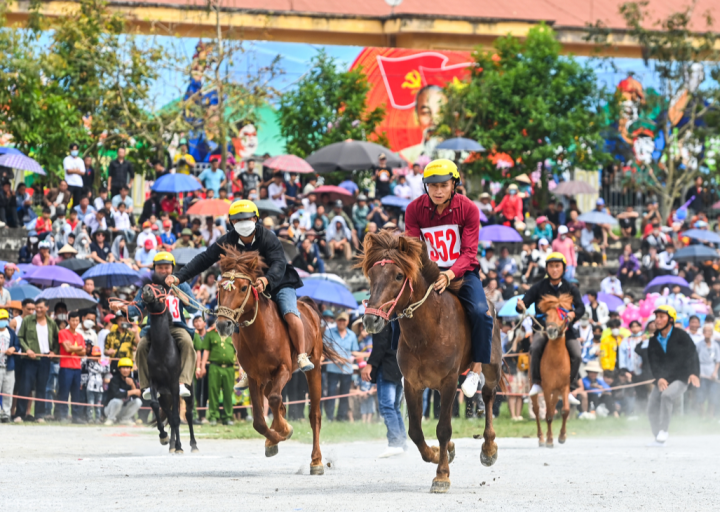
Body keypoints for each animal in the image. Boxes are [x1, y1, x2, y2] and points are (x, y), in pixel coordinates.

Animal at [141, 274, 197, 454]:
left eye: (159, 288)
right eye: (146, 286)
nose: (146, 290)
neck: (162, 350)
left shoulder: (173, 384)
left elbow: (177, 418)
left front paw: (180, 446)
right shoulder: (154, 383)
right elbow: (155, 405)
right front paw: (164, 437)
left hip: (188, 389)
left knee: (188, 414)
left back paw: (192, 445)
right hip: (165, 395)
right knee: (170, 413)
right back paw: (172, 444)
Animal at [214, 246, 344, 474]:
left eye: (243, 288)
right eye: (221, 288)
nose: (223, 324)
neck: (261, 333)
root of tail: (308, 307)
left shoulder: (283, 369)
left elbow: (275, 400)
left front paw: (284, 430)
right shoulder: (255, 377)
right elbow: (259, 420)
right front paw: (274, 438)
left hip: (314, 368)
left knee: (314, 414)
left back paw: (317, 461)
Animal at [360, 234, 500, 494]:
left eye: (398, 276)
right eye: (372, 275)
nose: (371, 320)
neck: (427, 331)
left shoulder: (448, 383)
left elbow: (443, 429)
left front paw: (442, 476)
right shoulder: (412, 384)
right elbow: (415, 431)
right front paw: (438, 453)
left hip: (492, 365)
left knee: (487, 395)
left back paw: (489, 449)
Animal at [528, 294, 572, 446]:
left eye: (562, 316)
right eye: (547, 315)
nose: (552, 331)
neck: (556, 361)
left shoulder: (564, 387)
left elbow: (564, 410)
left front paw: (562, 436)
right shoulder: (547, 388)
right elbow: (548, 415)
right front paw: (549, 440)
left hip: (557, 390)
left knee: (552, 407)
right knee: (537, 410)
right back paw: (542, 438)